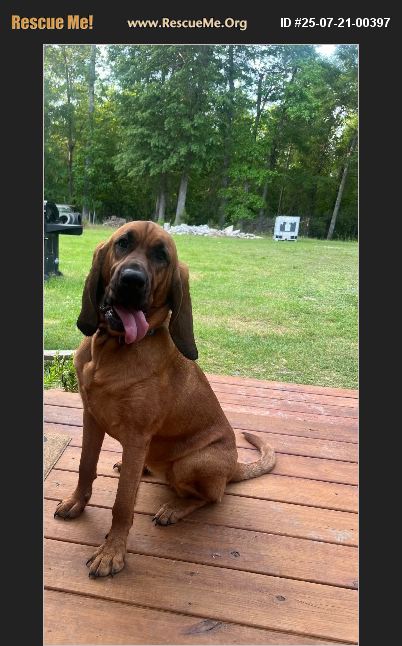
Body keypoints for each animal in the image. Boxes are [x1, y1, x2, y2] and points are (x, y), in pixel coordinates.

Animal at [54, 220, 275, 577]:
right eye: (122, 243)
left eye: (162, 256)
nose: (132, 280)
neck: (112, 349)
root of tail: (234, 467)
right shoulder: (91, 418)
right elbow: (86, 466)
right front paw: (77, 503)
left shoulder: (136, 435)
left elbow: (123, 504)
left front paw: (112, 553)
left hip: (191, 463)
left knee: (212, 496)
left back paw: (174, 507)